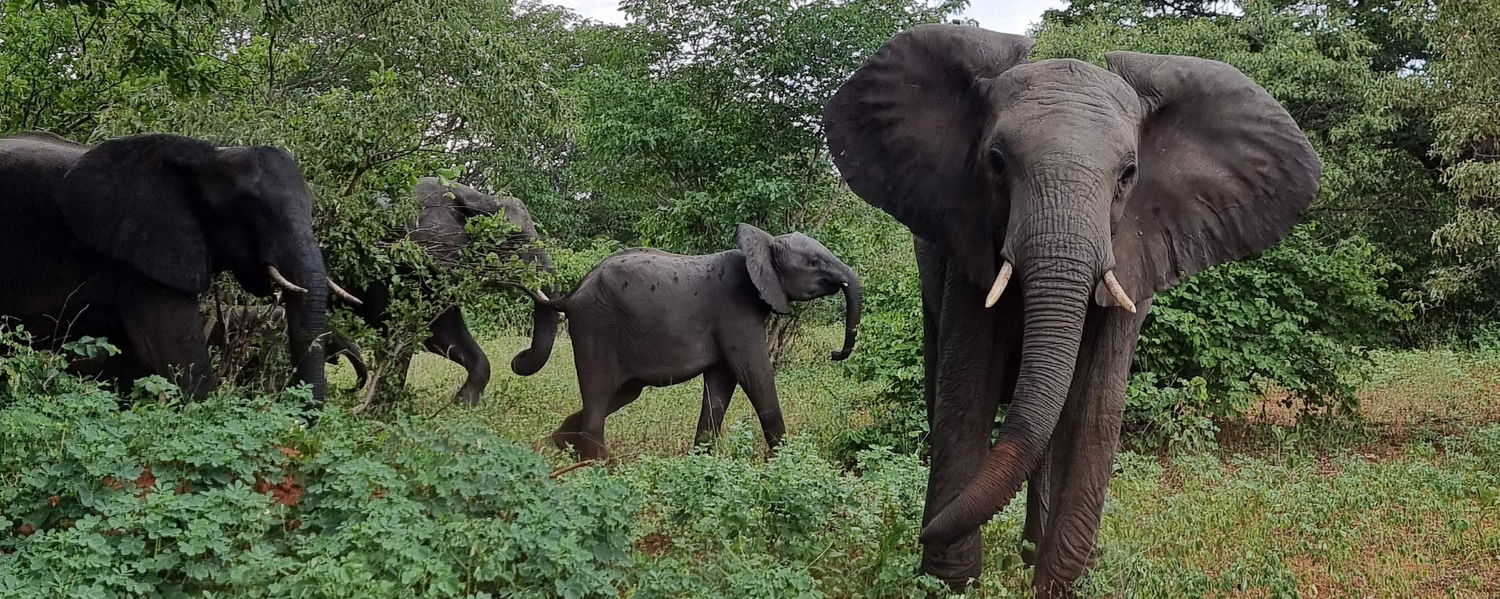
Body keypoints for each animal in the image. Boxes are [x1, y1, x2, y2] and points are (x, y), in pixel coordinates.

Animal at [348, 175, 561, 411]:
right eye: (513, 239)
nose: (518, 357)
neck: (478, 197)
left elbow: (442, 332)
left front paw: (462, 404)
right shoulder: (407, 261)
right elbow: (400, 331)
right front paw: (379, 412)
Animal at [528, 225, 864, 459]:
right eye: (813, 262)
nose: (836, 353)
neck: (762, 243)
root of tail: (571, 296)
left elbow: (721, 384)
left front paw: (701, 460)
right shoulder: (735, 311)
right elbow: (755, 374)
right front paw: (785, 462)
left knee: (621, 394)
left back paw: (559, 444)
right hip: (595, 329)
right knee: (599, 395)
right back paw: (597, 463)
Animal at [822, 27, 1326, 594]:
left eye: (1128, 174)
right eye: (996, 163)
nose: (919, 531)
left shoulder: (1135, 252)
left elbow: (1096, 401)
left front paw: (1064, 581)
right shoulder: (968, 242)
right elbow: (966, 389)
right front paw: (950, 584)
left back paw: (1031, 553)